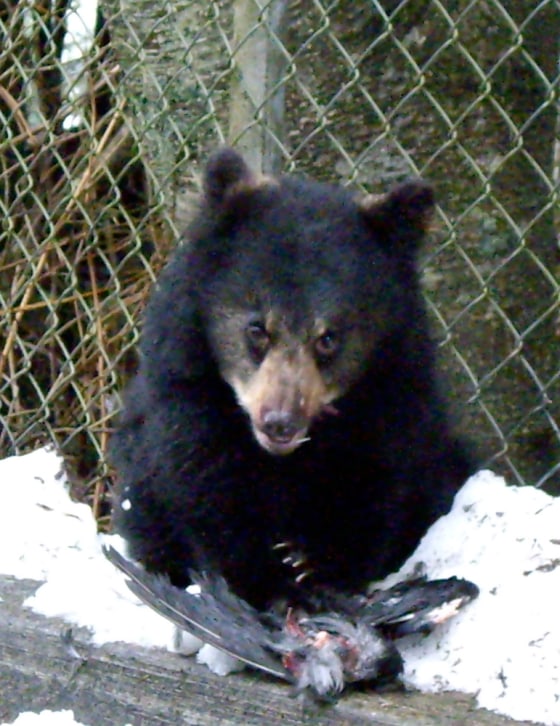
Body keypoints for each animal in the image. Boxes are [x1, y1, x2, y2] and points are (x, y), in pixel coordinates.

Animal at [110, 147, 474, 611]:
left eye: (329, 338)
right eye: (257, 329)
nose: (279, 423)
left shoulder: (393, 399)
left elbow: (375, 483)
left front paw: (313, 565)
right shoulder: (187, 401)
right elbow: (205, 486)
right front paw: (265, 577)